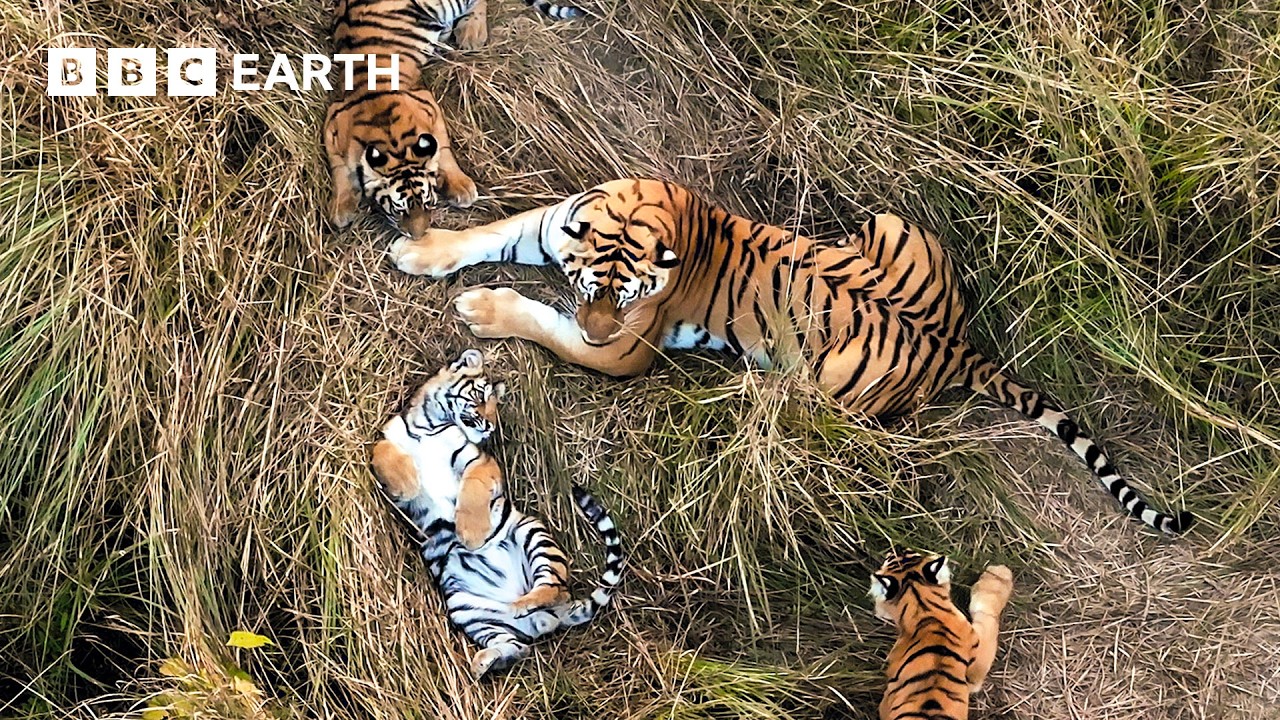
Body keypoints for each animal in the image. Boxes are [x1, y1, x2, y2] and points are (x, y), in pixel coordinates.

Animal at [323, 0, 585, 235]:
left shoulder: (428, 104)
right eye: (399, 210)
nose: (419, 236)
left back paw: (471, 32)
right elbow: (339, 169)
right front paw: (341, 208)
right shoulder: (333, 122)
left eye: (428, 202)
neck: (387, 131)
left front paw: (462, 188)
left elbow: (444, 150)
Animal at [370, 349, 624, 677]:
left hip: (532, 534)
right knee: (518, 645)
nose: (490, 425)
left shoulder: (478, 460)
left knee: (554, 587)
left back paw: (521, 604)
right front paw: (409, 482)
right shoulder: (389, 439)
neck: (430, 425)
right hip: (467, 608)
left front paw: (470, 534)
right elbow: (381, 450)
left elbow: (473, 490)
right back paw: (483, 661)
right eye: (480, 396)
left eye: (495, 407)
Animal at [387, 177, 1195, 535]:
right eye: (592, 287)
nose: (597, 330)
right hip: (890, 223)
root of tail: (957, 345)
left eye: (621, 305)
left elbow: (545, 324)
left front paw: (481, 308)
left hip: (828, 377)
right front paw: (422, 252)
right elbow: (490, 234)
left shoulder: (630, 349)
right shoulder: (551, 225)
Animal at [870, 549, 1014, 720]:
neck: (925, 609)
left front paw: (999, 573)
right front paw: (999, 574)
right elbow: (987, 615)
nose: (897, 548)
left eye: (911, 553)